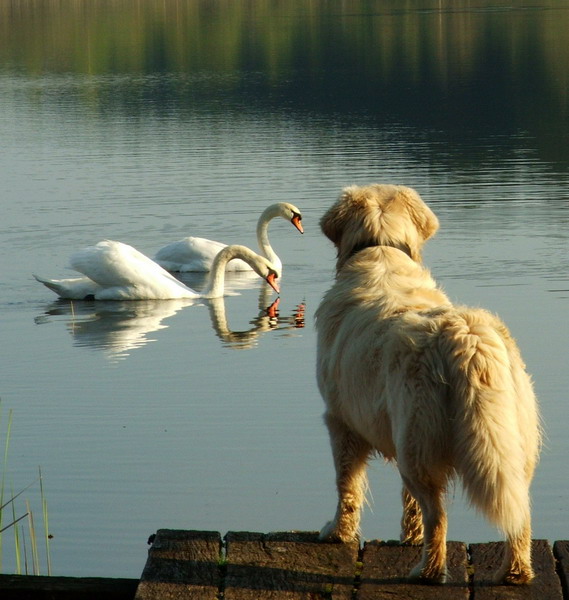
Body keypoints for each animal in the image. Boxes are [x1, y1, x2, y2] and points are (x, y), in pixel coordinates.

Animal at [318, 184, 540, 584]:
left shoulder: (340, 422)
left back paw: (428, 570)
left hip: (417, 443)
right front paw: (409, 536)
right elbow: (406, 503)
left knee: (439, 515)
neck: (382, 248)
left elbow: (347, 486)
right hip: (512, 443)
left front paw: (338, 533)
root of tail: (465, 334)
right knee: (518, 510)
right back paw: (514, 572)